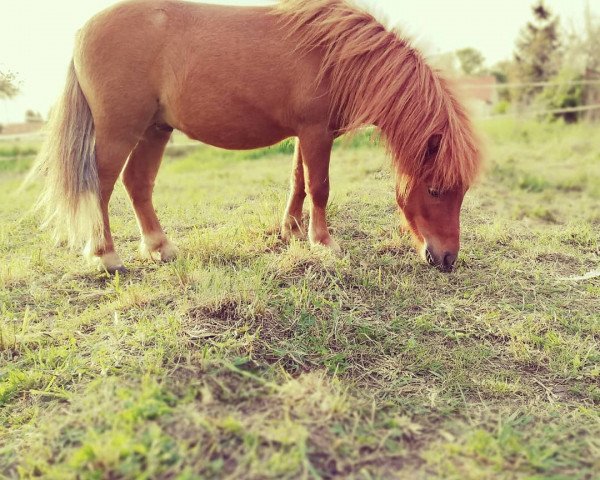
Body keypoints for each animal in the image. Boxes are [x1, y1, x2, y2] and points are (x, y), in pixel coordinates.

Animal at [29, 0, 482, 274]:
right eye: (436, 190)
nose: (447, 259)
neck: (338, 54)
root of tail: (85, 29)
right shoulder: (316, 132)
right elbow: (320, 186)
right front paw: (324, 243)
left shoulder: (306, 134)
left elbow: (298, 183)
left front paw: (293, 233)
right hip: (118, 131)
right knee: (102, 187)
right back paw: (106, 256)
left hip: (155, 129)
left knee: (137, 184)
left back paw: (160, 247)